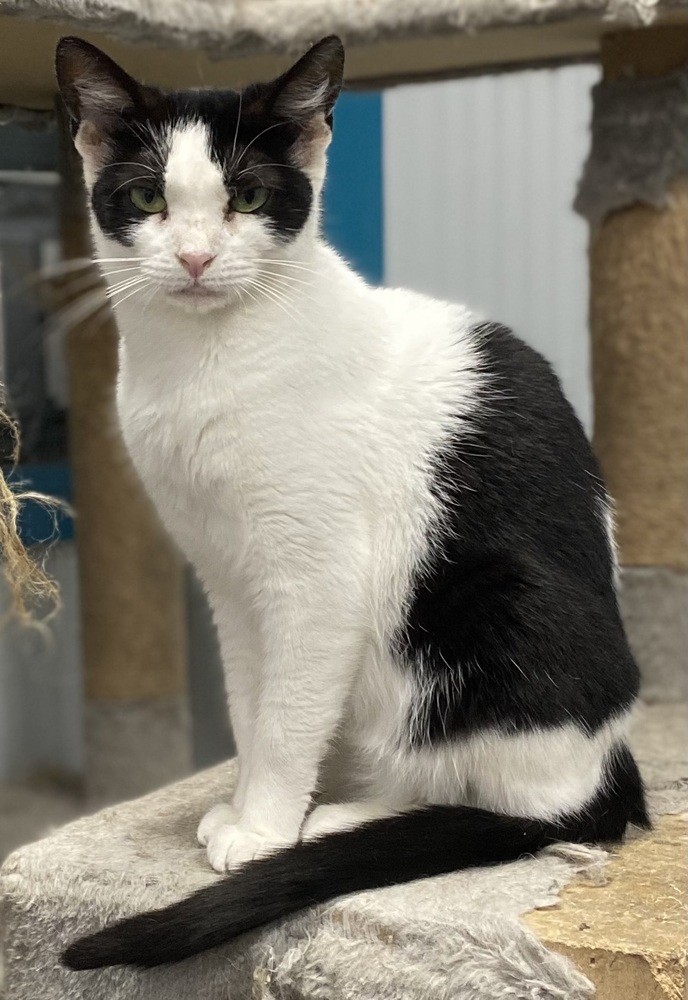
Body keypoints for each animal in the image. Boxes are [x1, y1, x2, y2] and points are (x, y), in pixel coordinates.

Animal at [56, 35, 648, 964]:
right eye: (148, 197)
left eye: (249, 197)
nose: (194, 259)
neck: (203, 365)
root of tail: (614, 764)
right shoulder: (229, 580)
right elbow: (250, 704)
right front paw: (250, 802)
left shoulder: (318, 579)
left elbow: (289, 714)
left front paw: (263, 828)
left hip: (479, 604)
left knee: (515, 800)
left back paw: (343, 820)